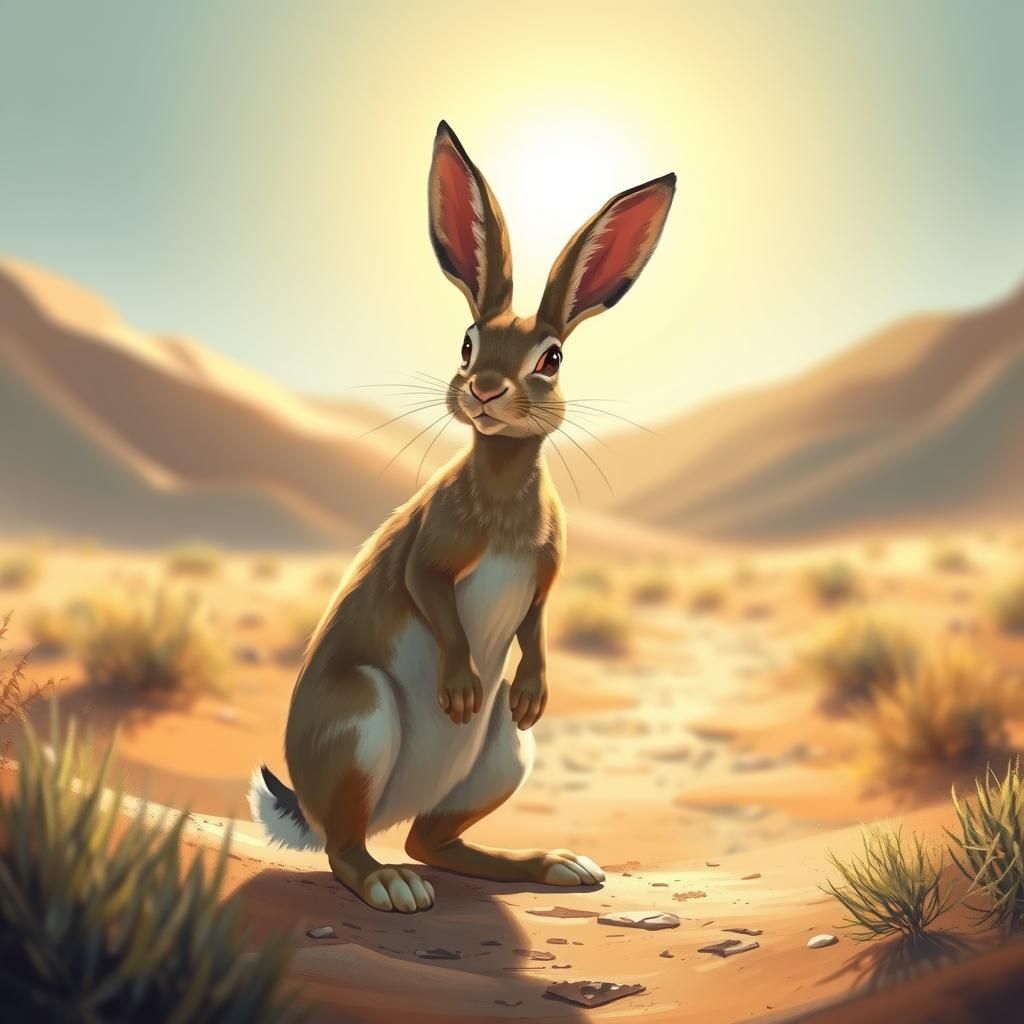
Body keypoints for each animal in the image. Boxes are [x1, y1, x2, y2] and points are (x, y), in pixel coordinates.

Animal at [249, 121, 675, 913]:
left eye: (551, 358)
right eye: (468, 341)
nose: (484, 390)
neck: (502, 482)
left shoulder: (544, 578)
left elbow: (536, 623)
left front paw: (534, 691)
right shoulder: (431, 551)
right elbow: (433, 598)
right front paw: (459, 690)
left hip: (505, 755)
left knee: (434, 841)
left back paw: (555, 864)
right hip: (360, 719)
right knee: (349, 853)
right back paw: (392, 886)